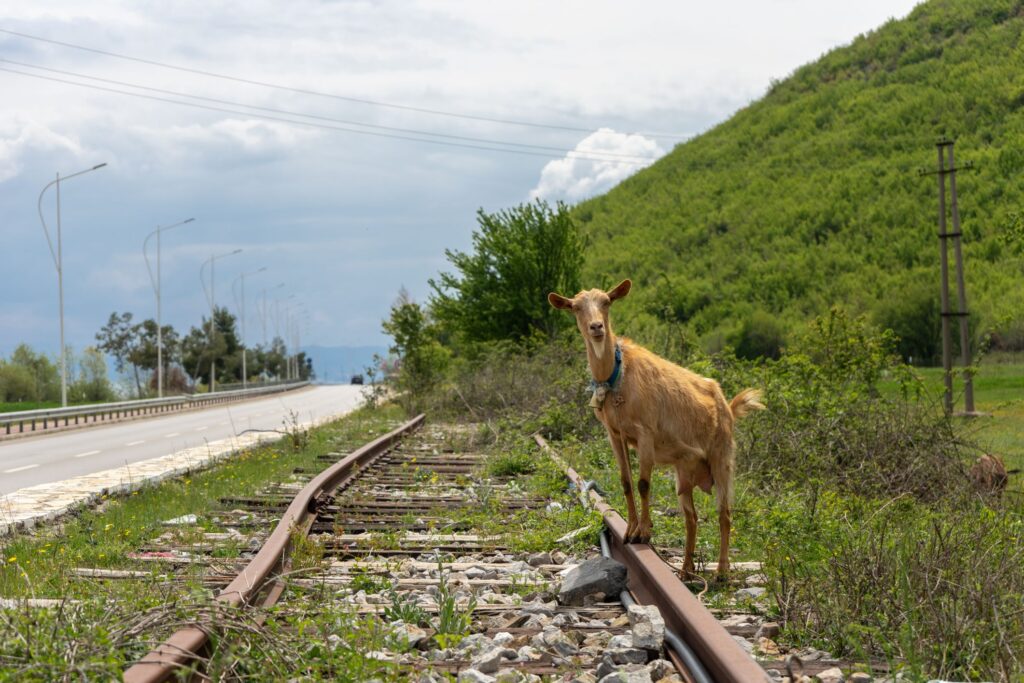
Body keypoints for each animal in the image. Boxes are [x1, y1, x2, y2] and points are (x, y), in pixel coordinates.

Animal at [548, 278, 765, 577]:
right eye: (576, 307)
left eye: (607, 302)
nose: (596, 327)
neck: (617, 375)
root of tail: (728, 405)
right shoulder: (614, 434)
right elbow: (626, 482)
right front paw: (629, 530)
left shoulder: (645, 433)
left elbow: (643, 484)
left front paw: (643, 532)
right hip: (684, 469)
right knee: (691, 517)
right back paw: (686, 569)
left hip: (723, 457)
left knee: (725, 514)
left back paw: (721, 571)